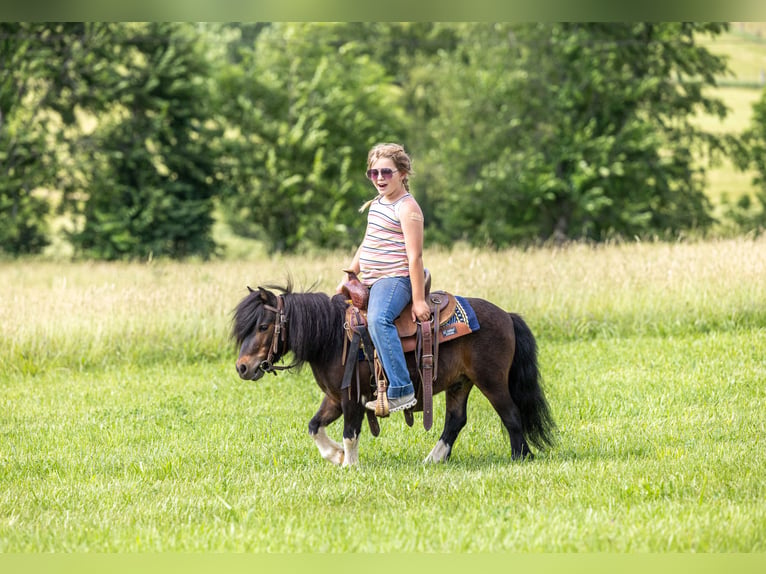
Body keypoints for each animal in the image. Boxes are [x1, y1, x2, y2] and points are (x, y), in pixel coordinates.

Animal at [231, 282, 555, 466]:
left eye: (263, 326)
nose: (242, 367)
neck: (333, 337)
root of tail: (507, 316)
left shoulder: (353, 397)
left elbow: (350, 432)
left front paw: (349, 465)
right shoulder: (334, 398)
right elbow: (314, 426)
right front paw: (335, 456)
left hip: (492, 380)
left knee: (511, 415)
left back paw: (520, 457)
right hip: (460, 383)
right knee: (455, 420)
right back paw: (434, 459)